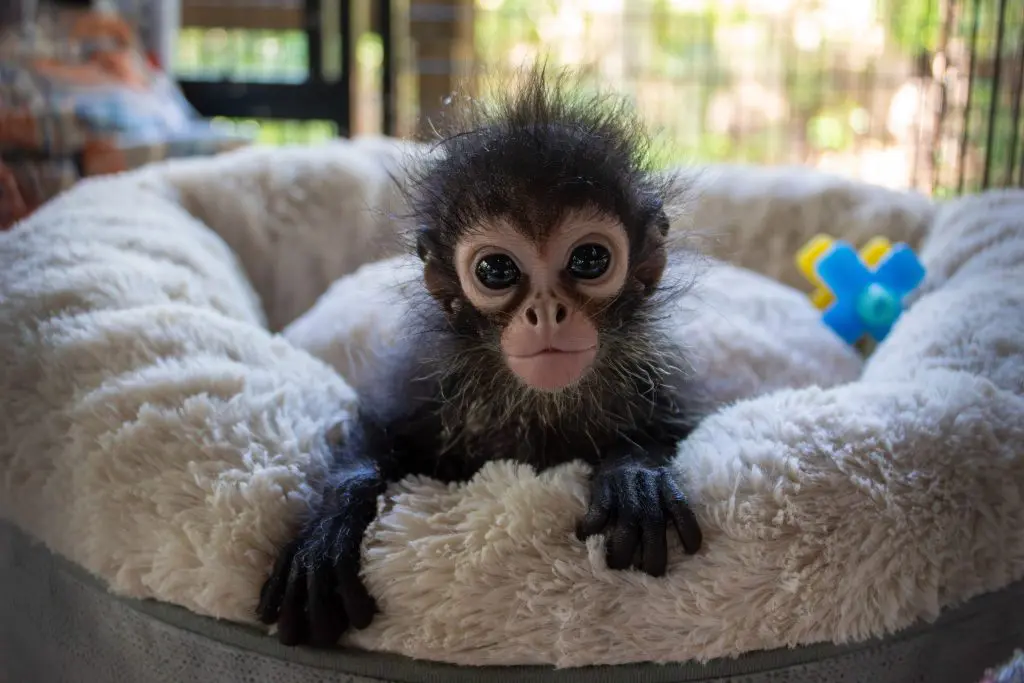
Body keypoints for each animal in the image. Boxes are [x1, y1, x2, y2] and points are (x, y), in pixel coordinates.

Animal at [256, 66, 708, 648]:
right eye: (496, 271)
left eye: (589, 259)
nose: (547, 313)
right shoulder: (431, 387)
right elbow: (372, 438)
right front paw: (327, 530)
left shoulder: (650, 380)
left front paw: (635, 478)